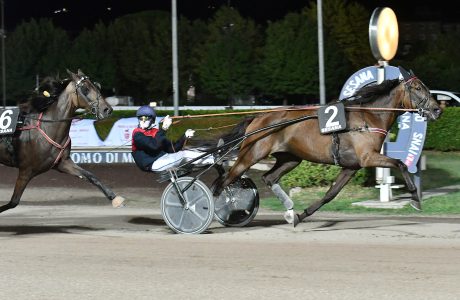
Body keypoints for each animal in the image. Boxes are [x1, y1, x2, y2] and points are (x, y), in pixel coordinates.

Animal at [0, 69, 126, 212]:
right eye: (85, 89)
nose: (107, 110)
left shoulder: (62, 163)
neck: (47, 127)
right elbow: (13, 202)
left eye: (97, 86)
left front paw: (115, 198)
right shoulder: (25, 171)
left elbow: (91, 176)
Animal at [212, 67, 442, 227]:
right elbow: (401, 164)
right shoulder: (368, 157)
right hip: (251, 154)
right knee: (224, 181)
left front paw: (299, 216)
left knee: (268, 177)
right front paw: (415, 199)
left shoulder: (352, 166)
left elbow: (330, 194)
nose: (437, 109)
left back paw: (288, 210)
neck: (369, 118)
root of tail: (258, 117)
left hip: (290, 158)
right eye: (418, 87)